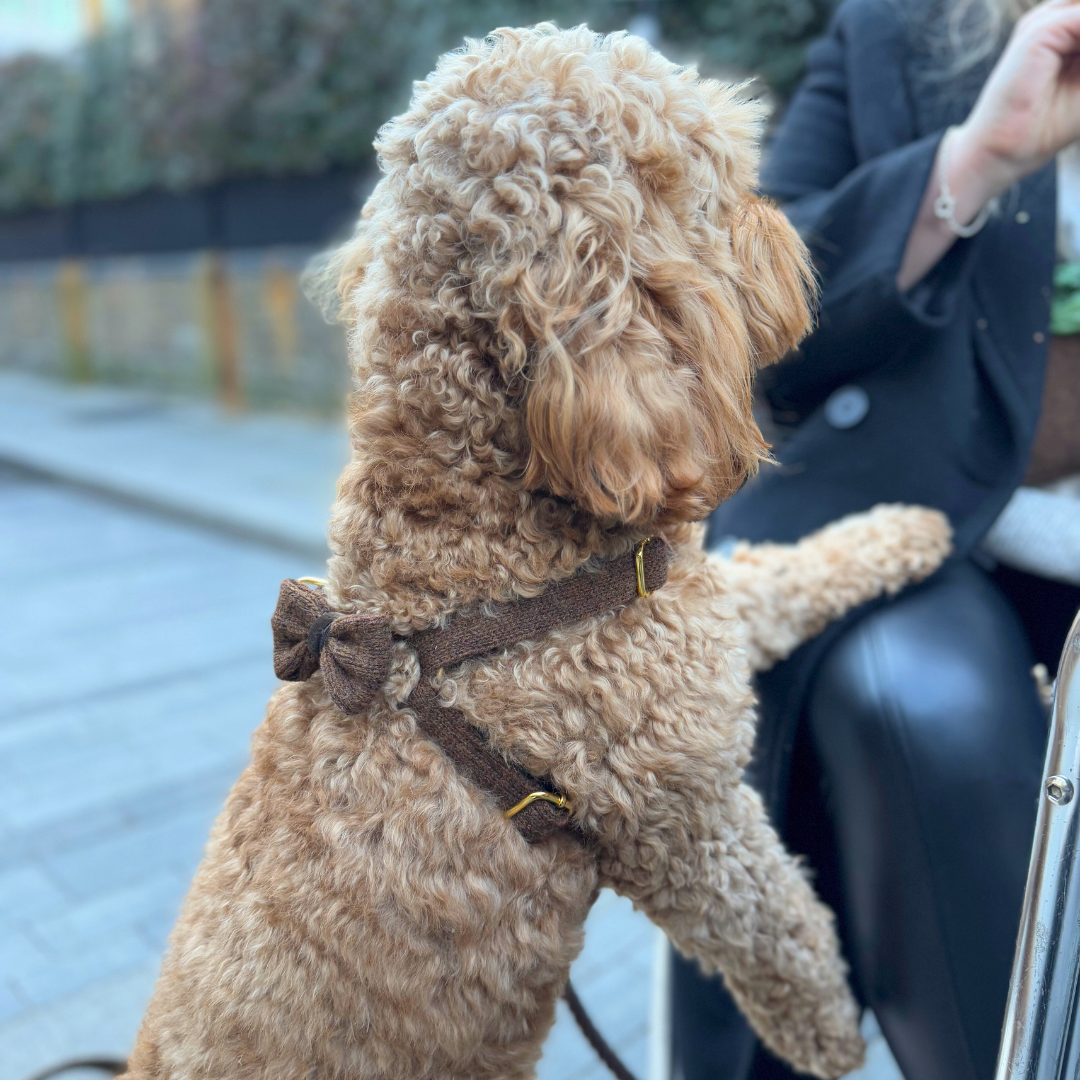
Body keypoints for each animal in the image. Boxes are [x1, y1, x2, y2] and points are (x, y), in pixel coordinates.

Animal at [126, 25, 950, 1080]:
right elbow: (776, 930)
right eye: (716, 187)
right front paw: (834, 1031)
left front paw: (910, 527)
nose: (787, 226)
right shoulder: (683, 817)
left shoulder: (681, 619)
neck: (473, 540)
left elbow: (788, 568)